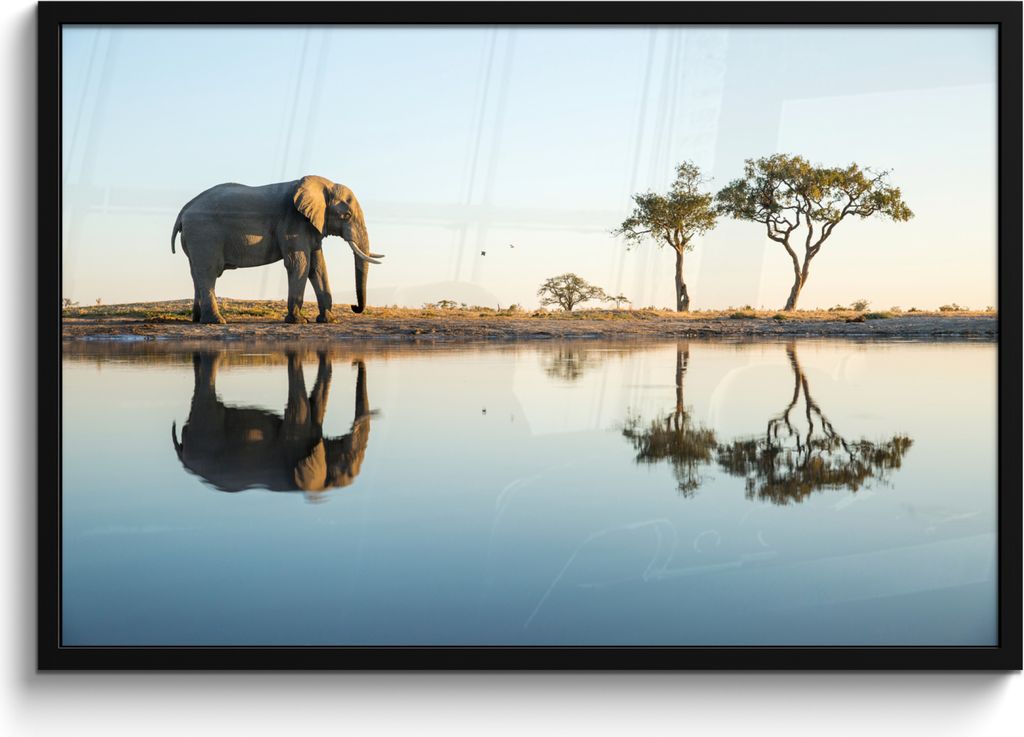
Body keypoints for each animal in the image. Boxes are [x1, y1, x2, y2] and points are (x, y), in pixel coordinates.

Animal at [170, 175, 384, 324]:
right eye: (346, 215)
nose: (354, 306)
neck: (324, 185)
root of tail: (184, 210)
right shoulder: (293, 223)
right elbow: (300, 264)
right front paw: (298, 322)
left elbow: (318, 267)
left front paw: (329, 321)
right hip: (204, 234)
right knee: (209, 272)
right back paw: (217, 322)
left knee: (196, 273)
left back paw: (197, 320)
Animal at [171, 350, 372, 495]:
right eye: (346, 470)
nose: (354, 363)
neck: (320, 489)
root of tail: (182, 458)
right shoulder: (293, 445)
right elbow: (302, 408)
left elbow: (315, 405)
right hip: (206, 433)